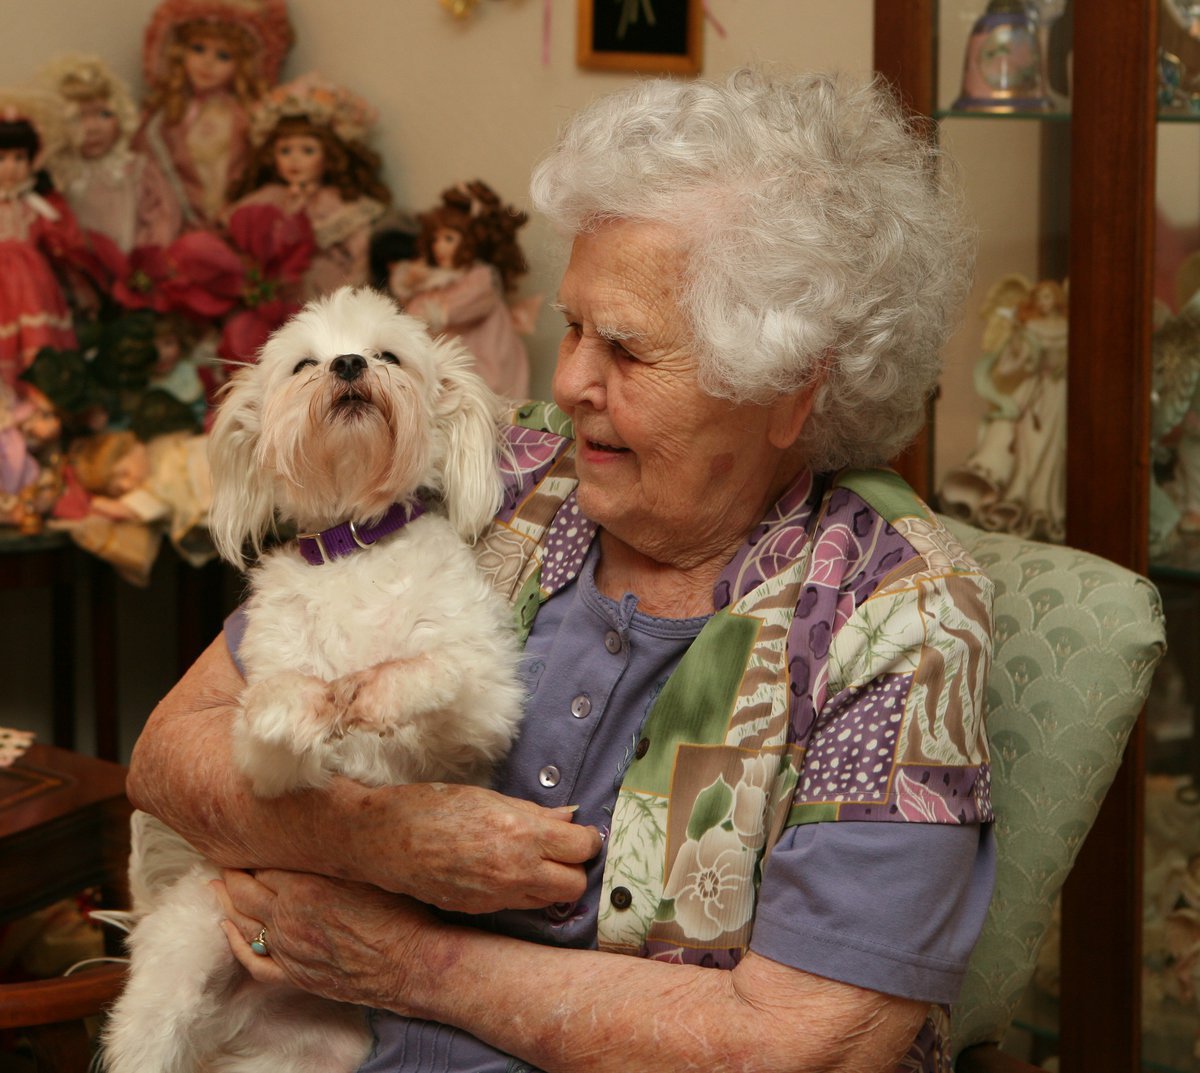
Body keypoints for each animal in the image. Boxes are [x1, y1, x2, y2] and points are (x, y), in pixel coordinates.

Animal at [105, 285, 528, 1073]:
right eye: (305, 363)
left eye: (388, 353)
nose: (349, 363)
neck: (355, 548)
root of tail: (237, 1026)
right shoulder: (268, 771)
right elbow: (274, 716)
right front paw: (296, 704)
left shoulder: (484, 717)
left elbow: (439, 671)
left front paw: (379, 688)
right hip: (182, 963)